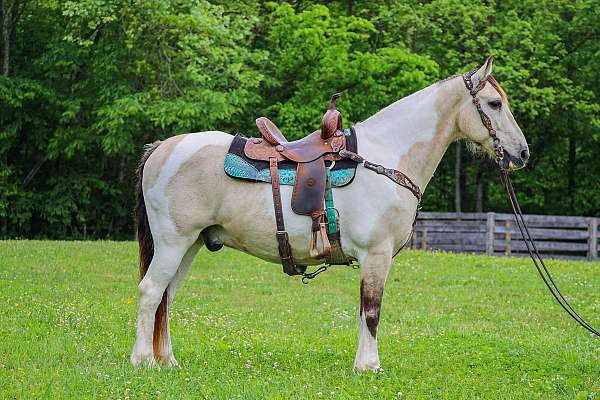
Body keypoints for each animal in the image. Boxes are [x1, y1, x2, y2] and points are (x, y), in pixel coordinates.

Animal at [129, 57, 528, 370]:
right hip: (172, 243)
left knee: (166, 296)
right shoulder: (376, 255)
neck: (385, 158)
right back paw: (143, 360)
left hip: (190, 245)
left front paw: (361, 364)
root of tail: (162, 148)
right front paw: (370, 366)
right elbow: (372, 310)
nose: (521, 153)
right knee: (151, 292)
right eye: (494, 103)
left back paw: (168, 361)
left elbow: (363, 312)